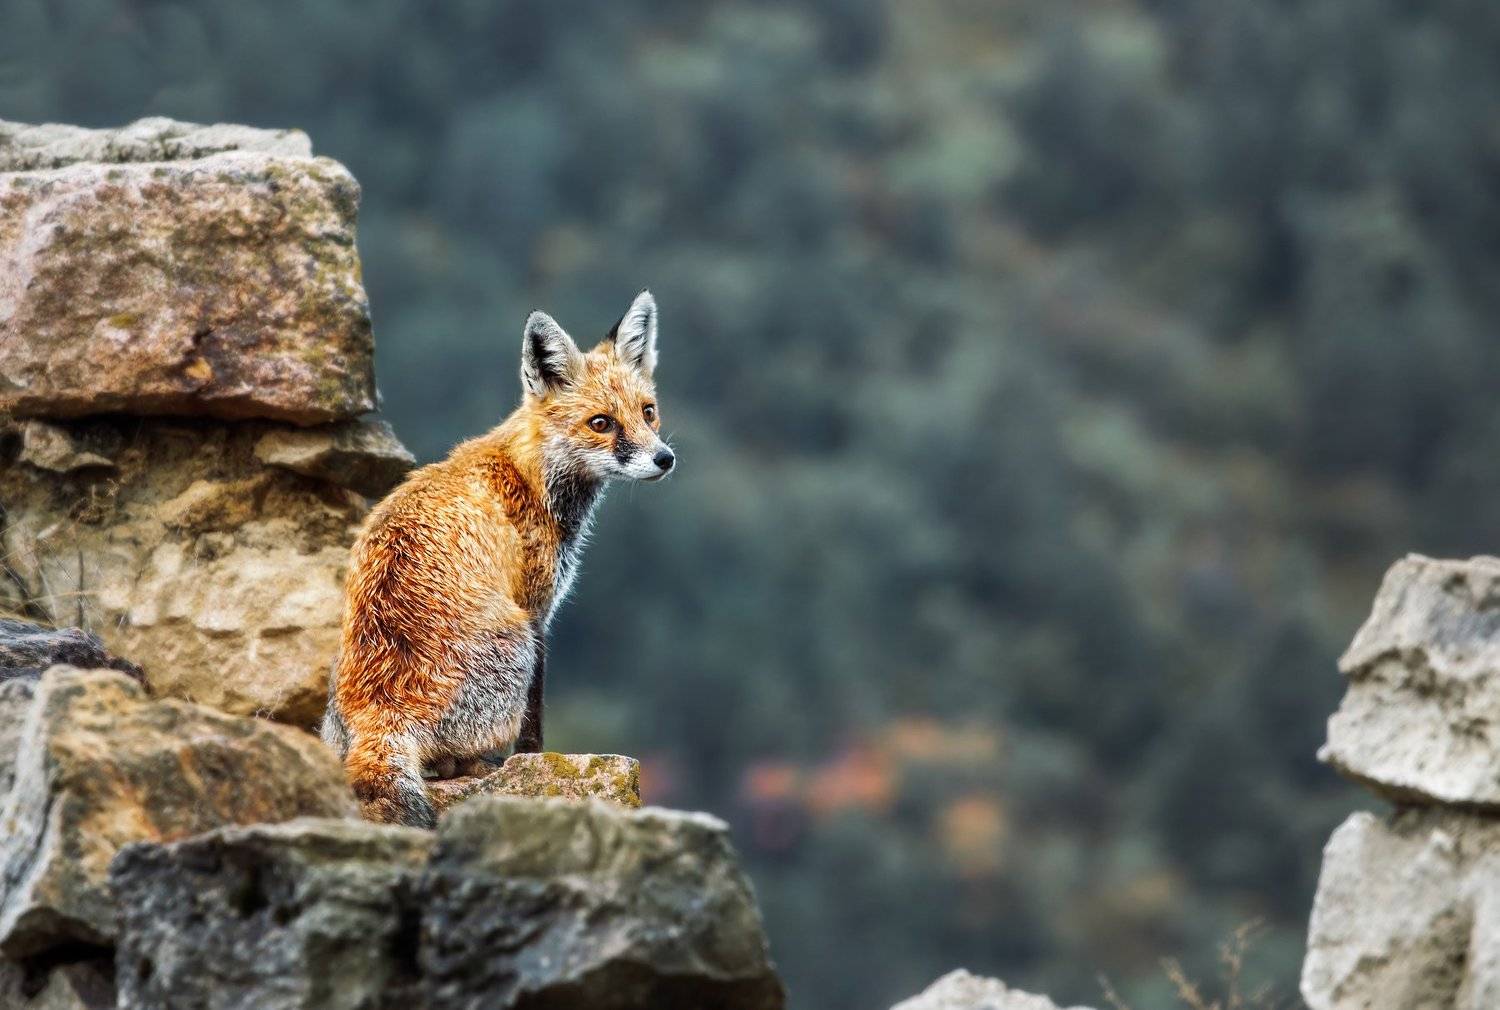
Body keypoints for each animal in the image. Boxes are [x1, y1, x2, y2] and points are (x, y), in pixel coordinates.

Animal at [321, 291, 674, 827]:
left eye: (648, 412)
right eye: (601, 423)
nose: (664, 459)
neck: (529, 476)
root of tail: (382, 710)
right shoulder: (536, 610)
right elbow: (534, 722)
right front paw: (534, 761)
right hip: (516, 645)